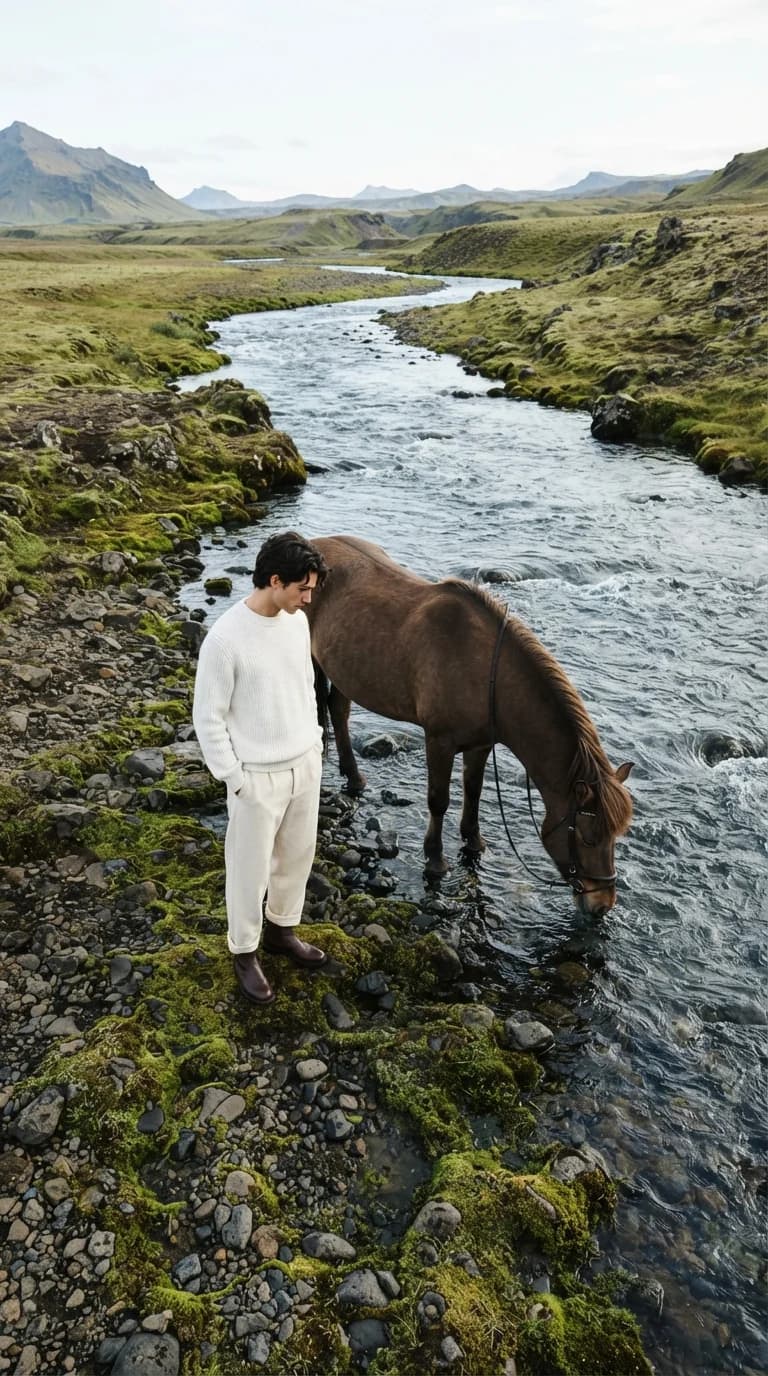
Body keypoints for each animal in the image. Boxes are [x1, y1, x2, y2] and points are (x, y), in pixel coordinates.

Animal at [306, 535, 633, 916]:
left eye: (615, 837)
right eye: (587, 835)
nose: (602, 904)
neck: (486, 671)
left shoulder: (480, 744)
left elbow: (473, 791)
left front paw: (474, 841)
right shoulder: (439, 740)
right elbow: (439, 800)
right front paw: (435, 859)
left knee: (338, 711)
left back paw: (354, 776)